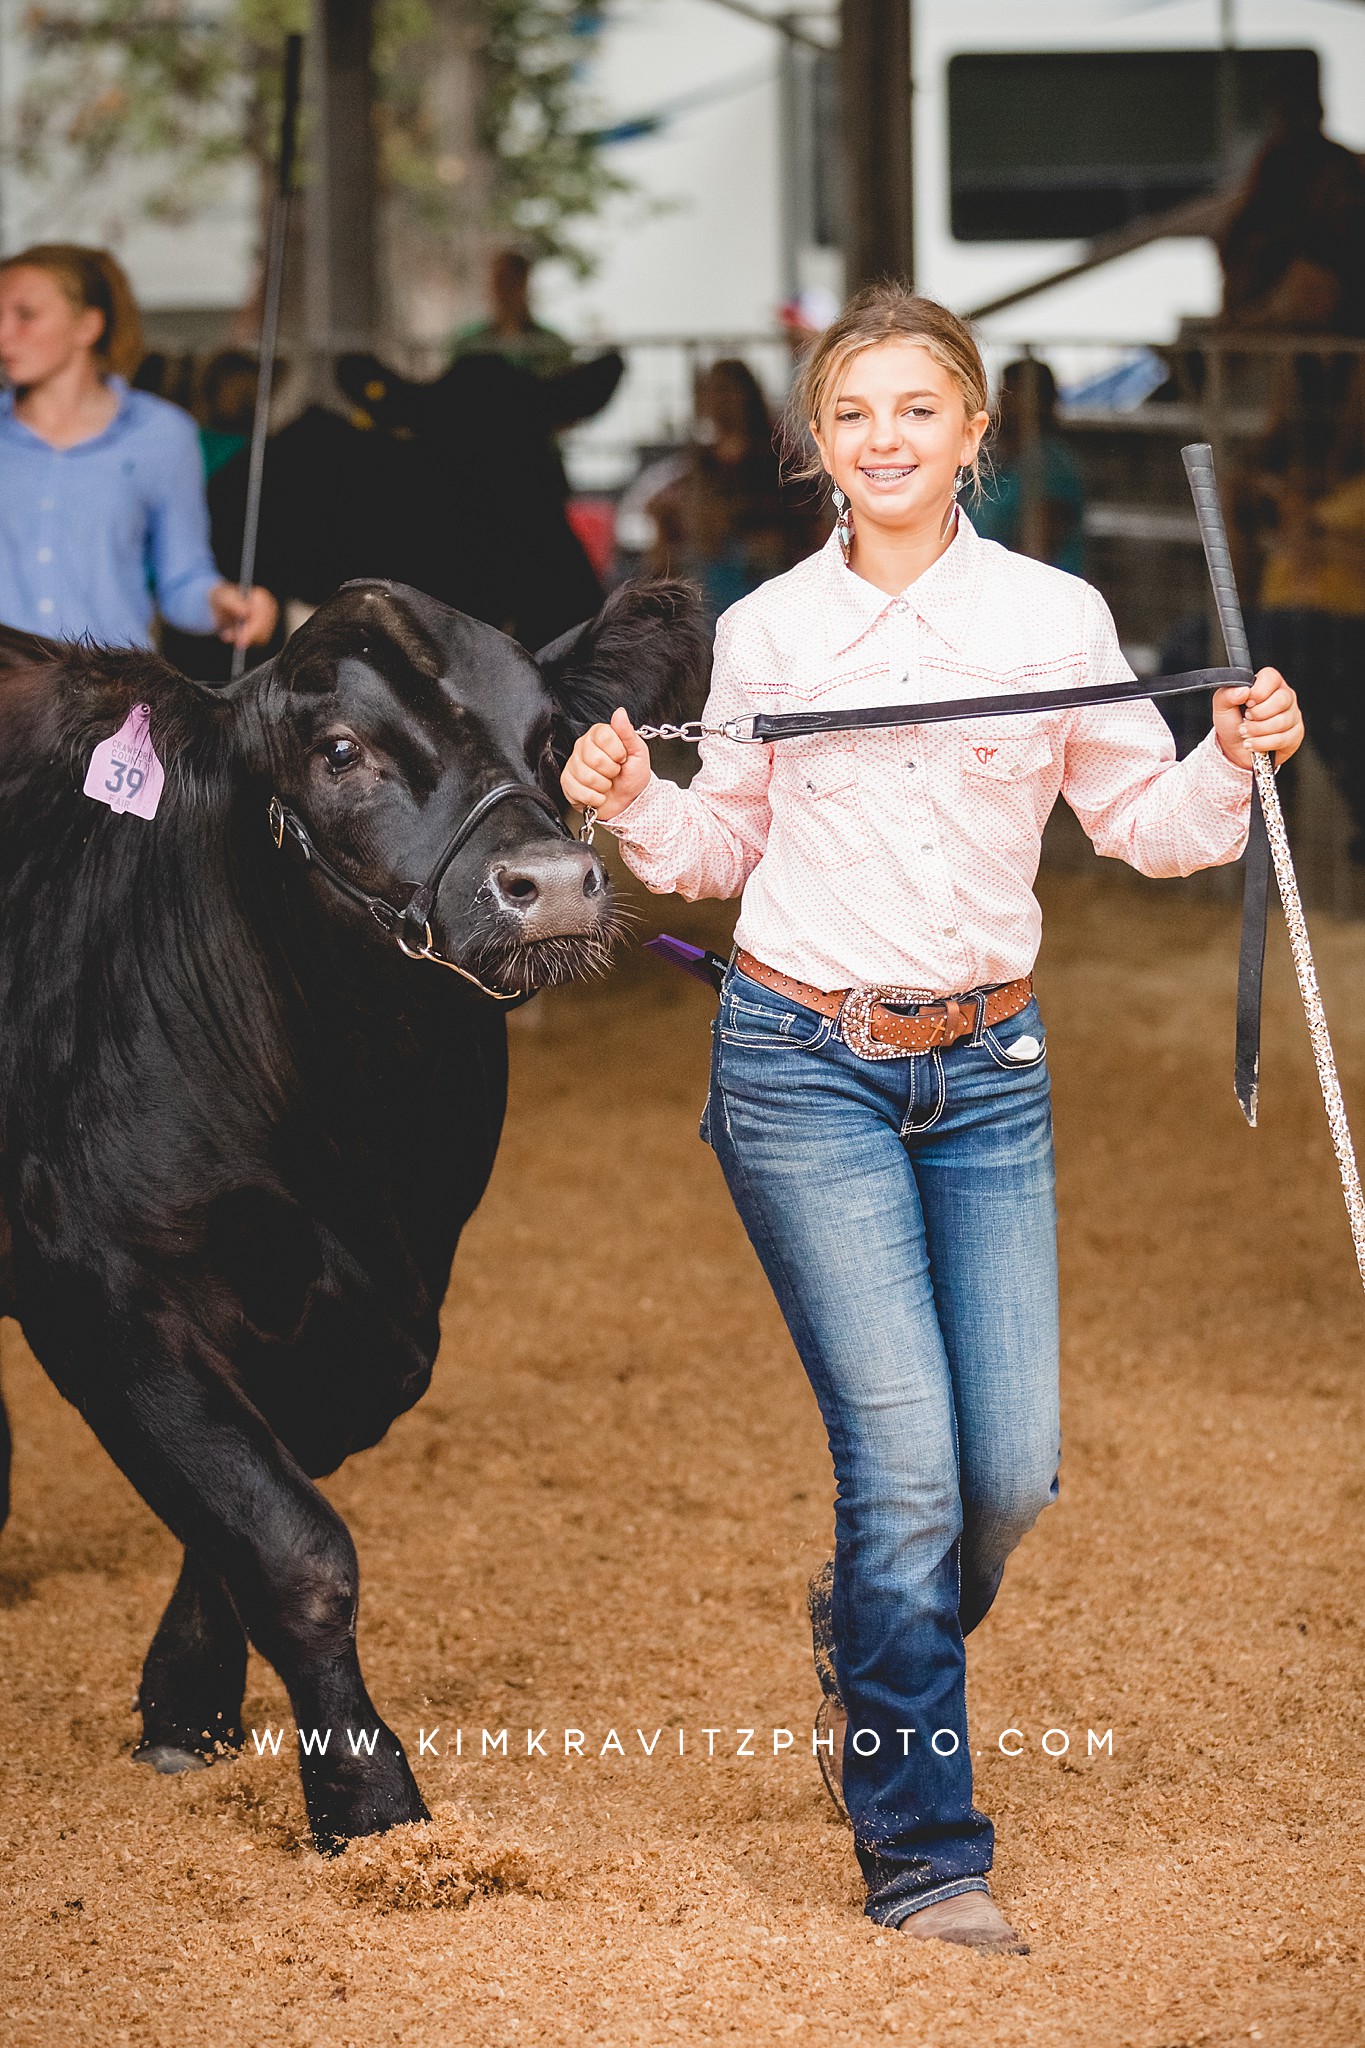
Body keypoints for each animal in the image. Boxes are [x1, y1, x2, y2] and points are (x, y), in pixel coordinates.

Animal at [0, 569, 703, 1851]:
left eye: (553, 740)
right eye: (339, 750)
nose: (552, 889)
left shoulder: (385, 1316)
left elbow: (246, 1499)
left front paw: (187, 1705)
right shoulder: (95, 1283)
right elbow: (293, 1542)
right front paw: (369, 1798)